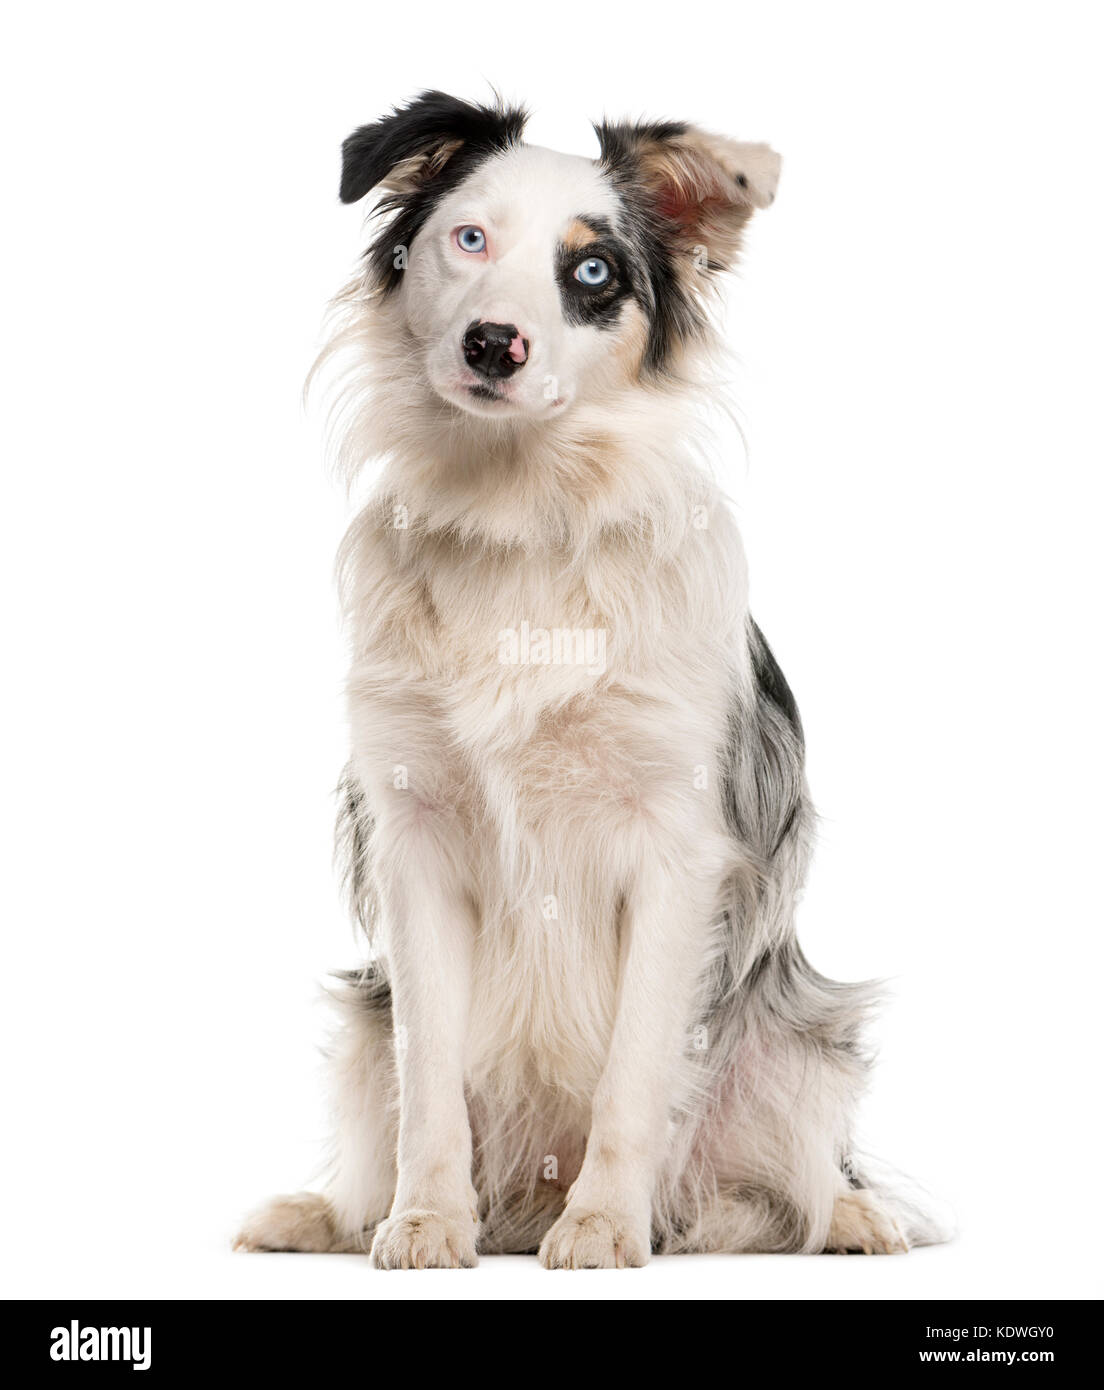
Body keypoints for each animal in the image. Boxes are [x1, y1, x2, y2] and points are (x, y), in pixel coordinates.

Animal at [232, 84, 939, 1262]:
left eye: (595, 272)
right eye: (468, 239)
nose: (493, 343)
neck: (522, 511)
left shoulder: (675, 849)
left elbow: (633, 1075)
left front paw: (606, 1221)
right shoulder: (415, 837)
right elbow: (430, 1077)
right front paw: (426, 1219)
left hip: (801, 1040)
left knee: (795, 1169)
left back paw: (850, 1216)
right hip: (362, 1028)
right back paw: (325, 1213)